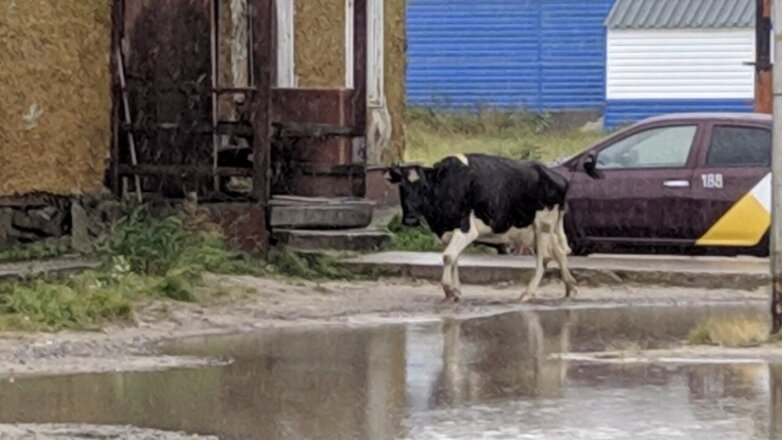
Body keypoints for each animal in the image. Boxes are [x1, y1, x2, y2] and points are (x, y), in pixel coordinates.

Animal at [384, 153, 577, 303]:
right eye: (401, 187)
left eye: (424, 187)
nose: (410, 219)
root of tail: (558, 177)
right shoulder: (448, 232)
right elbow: (454, 259)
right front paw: (455, 292)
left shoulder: (466, 229)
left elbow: (448, 257)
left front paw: (449, 290)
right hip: (534, 230)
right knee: (559, 252)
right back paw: (570, 287)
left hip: (542, 224)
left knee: (543, 260)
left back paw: (528, 293)